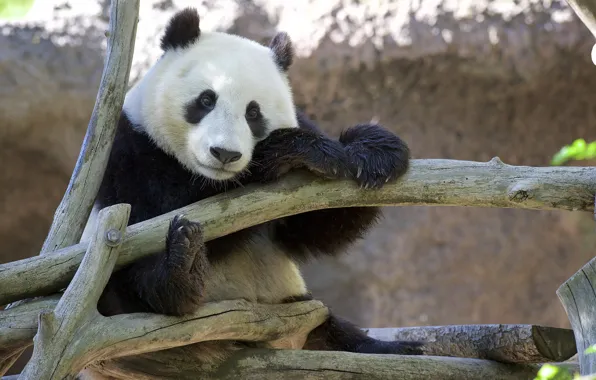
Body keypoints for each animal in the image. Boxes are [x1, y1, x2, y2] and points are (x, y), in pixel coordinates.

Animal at [93, 5, 422, 368]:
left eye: (253, 113)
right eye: (206, 100)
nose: (225, 154)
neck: (211, 177)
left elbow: (317, 226)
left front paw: (373, 153)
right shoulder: (130, 149)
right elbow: (161, 211)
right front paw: (277, 154)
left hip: (298, 305)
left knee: (331, 325)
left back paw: (392, 348)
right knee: (131, 286)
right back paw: (181, 271)